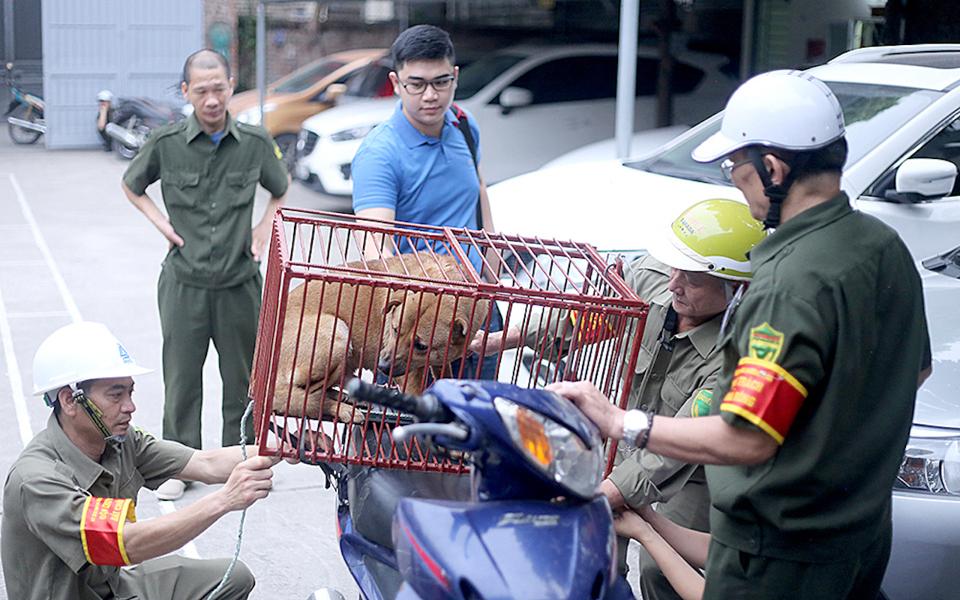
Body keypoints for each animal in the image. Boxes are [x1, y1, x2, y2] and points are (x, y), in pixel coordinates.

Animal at [274, 255, 492, 420]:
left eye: (421, 346)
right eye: (395, 329)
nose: (382, 367)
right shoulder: (408, 376)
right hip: (337, 332)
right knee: (307, 395)